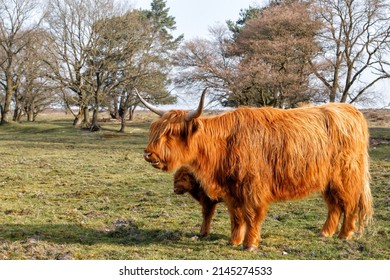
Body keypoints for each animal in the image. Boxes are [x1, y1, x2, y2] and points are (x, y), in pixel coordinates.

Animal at [137, 88, 372, 252]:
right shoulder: (232, 191)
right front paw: (234, 241)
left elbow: (251, 216)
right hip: (328, 180)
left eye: (171, 132)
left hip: (346, 176)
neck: (223, 145)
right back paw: (325, 233)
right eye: (154, 129)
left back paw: (345, 235)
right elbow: (236, 216)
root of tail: (349, 110)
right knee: (334, 205)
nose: (148, 154)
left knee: (350, 203)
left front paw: (249, 244)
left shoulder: (254, 188)